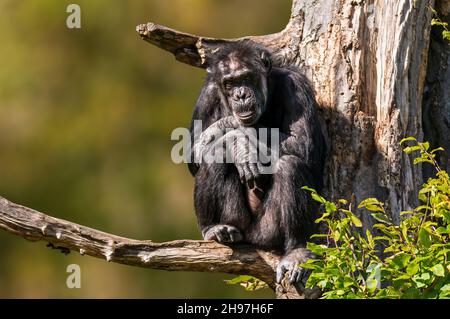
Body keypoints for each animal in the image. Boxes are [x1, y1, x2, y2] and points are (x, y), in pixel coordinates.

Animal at [186, 41, 324, 284]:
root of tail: (253, 239)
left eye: (247, 78)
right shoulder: (207, 96)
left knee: (290, 166)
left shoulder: (295, 86)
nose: (240, 95)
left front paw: (233, 130)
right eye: (229, 83)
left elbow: (304, 144)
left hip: (268, 230)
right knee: (215, 156)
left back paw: (297, 252)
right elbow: (194, 154)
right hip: (237, 219)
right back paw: (215, 228)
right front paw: (236, 142)